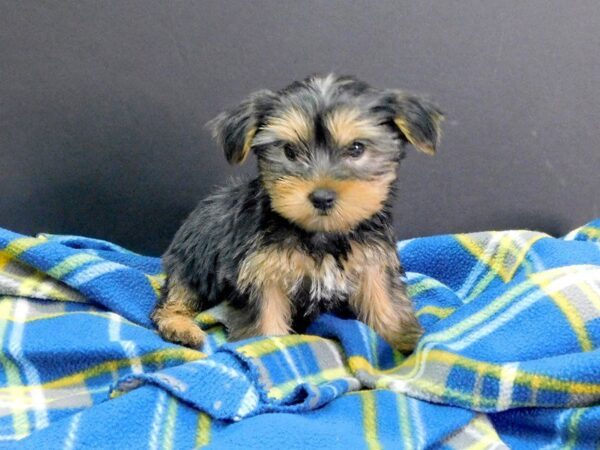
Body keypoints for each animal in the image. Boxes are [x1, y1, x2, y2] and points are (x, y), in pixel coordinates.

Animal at [150, 74, 440, 354]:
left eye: (357, 148)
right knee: (176, 296)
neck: (321, 235)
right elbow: (265, 317)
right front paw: (269, 346)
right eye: (289, 151)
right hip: (191, 260)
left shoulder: (373, 259)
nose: (322, 197)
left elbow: (384, 299)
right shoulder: (259, 272)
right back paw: (180, 327)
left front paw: (404, 341)